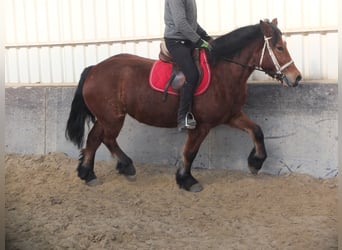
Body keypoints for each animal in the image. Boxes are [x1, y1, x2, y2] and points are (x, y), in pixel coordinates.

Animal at [65, 19, 300, 191]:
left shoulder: (232, 115)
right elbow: (190, 152)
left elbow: (257, 131)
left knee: (94, 139)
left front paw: (255, 162)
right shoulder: (201, 125)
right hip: (113, 117)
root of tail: (95, 68)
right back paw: (124, 167)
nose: (296, 78)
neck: (222, 72)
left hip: (106, 117)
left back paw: (89, 174)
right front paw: (186, 180)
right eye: (279, 47)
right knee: (106, 139)